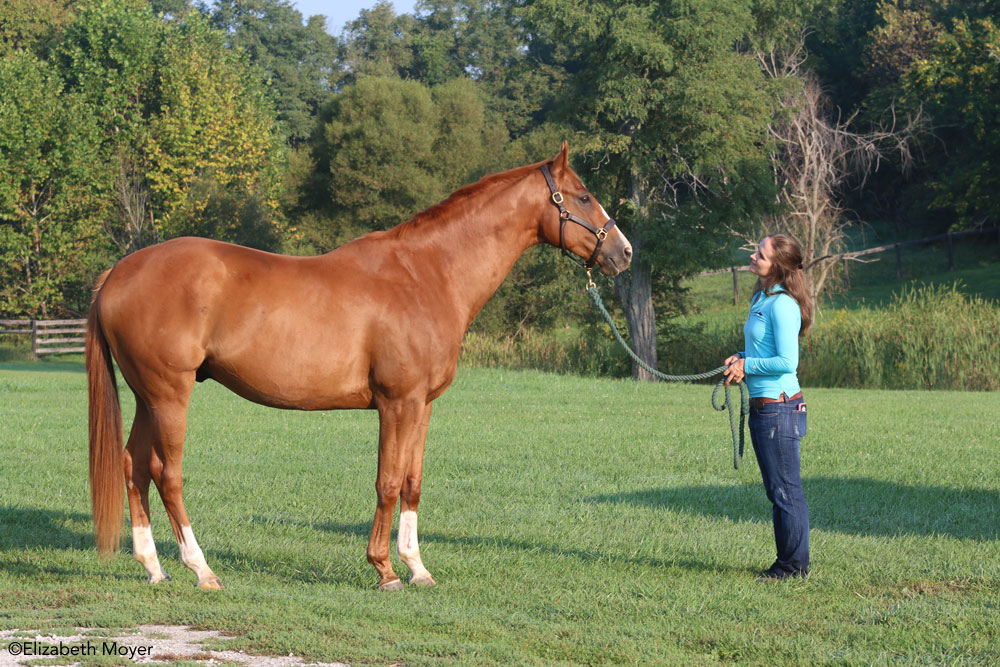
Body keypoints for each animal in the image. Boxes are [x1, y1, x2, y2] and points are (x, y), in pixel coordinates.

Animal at [88, 142, 632, 588]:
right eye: (582, 197)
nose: (623, 252)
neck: (426, 274)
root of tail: (118, 271)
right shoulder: (397, 403)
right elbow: (387, 482)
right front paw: (385, 569)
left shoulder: (422, 405)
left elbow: (412, 482)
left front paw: (417, 568)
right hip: (170, 394)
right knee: (167, 473)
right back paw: (201, 569)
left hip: (147, 397)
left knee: (133, 465)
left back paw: (154, 567)